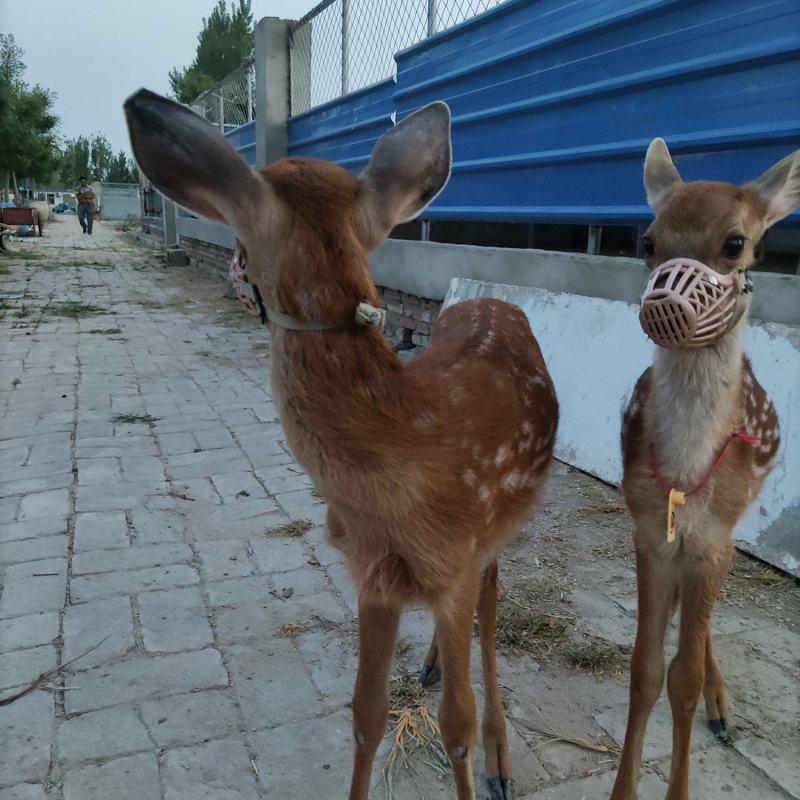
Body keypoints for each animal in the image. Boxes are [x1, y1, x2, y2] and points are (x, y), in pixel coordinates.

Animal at [125, 89, 559, 800]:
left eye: (239, 247)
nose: (234, 277)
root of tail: (497, 302)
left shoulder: (460, 553)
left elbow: (456, 724)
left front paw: (482, 755)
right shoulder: (372, 572)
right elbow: (364, 714)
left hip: (504, 522)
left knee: (493, 607)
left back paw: (500, 761)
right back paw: (431, 666)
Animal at [609, 140, 799, 800]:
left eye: (735, 242)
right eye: (646, 242)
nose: (663, 302)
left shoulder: (712, 536)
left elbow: (682, 678)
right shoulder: (648, 530)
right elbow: (644, 669)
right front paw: (623, 791)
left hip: (733, 524)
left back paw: (721, 706)